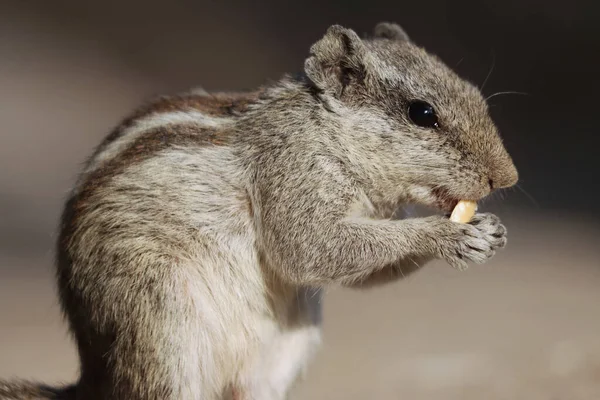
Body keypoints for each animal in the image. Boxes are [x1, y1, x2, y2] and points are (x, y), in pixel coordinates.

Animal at [0, 21, 516, 400]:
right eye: (422, 113)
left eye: (472, 90)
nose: (507, 178)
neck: (325, 130)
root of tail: (95, 381)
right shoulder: (291, 174)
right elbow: (313, 249)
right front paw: (446, 235)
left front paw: (490, 231)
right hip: (161, 327)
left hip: (284, 350)